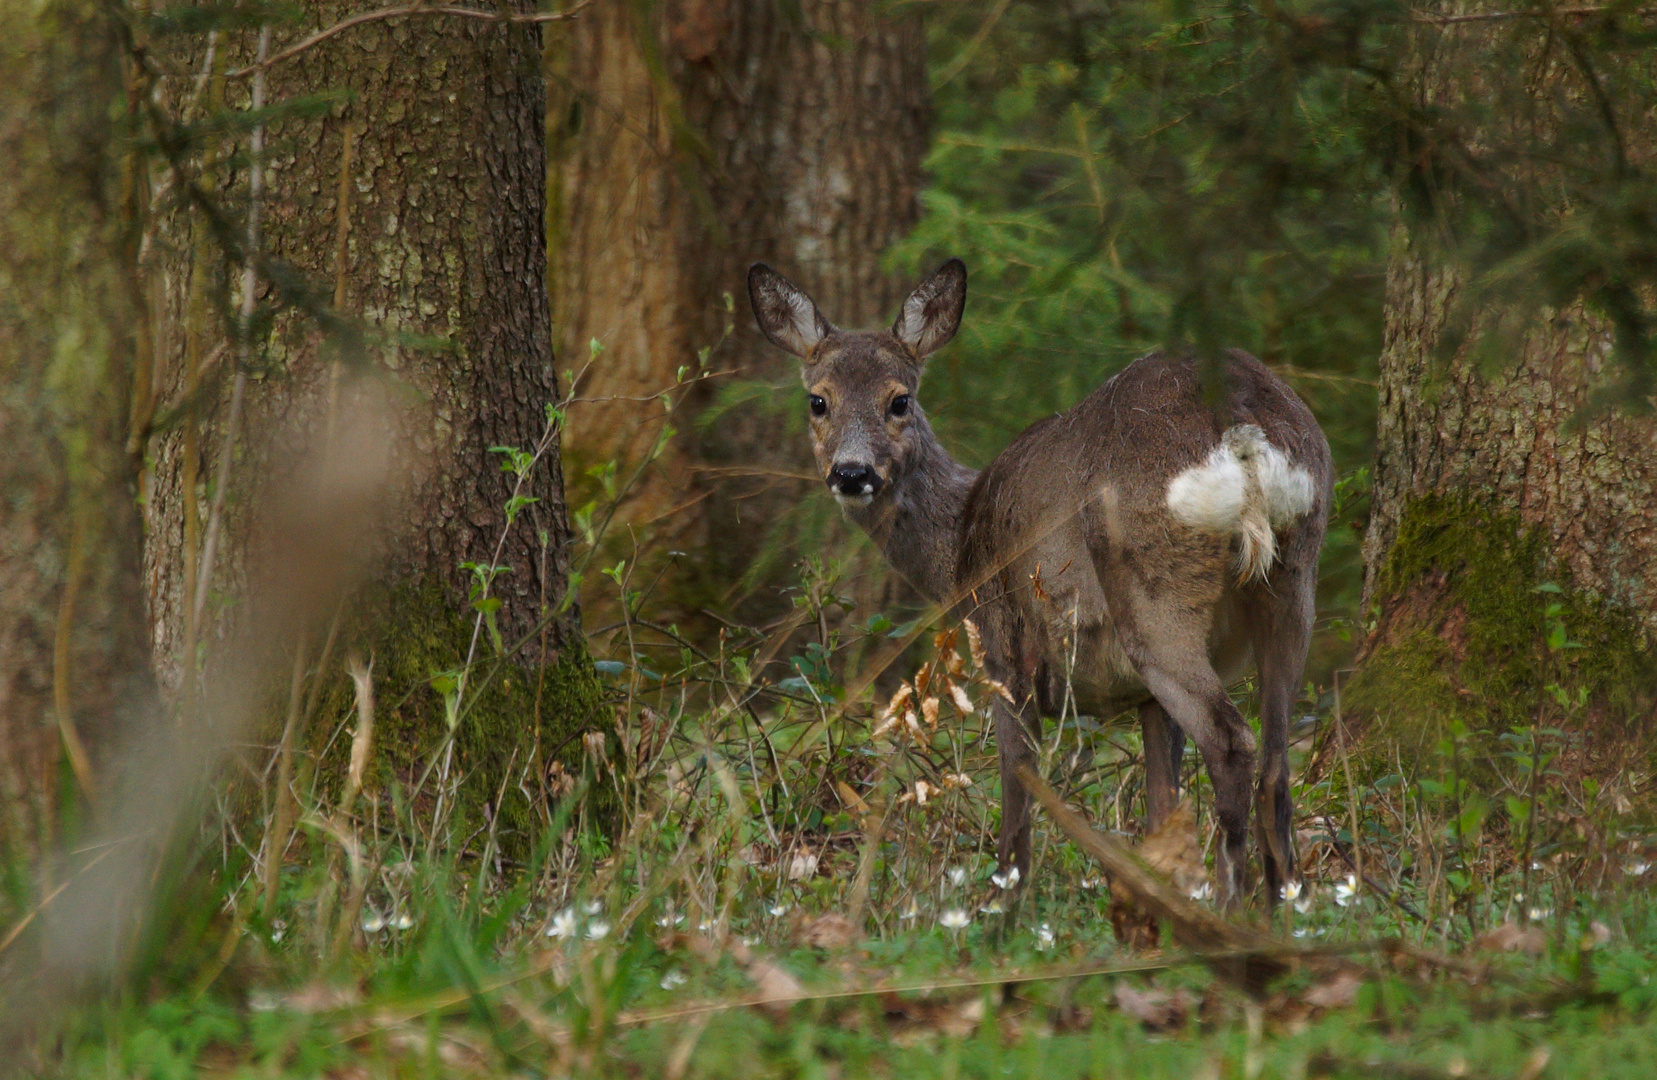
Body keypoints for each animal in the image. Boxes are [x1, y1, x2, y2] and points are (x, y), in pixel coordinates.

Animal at [752, 256, 1332, 907]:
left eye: (900, 400)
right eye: (818, 401)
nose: (852, 473)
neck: (959, 546)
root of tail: (1243, 432)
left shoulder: (1004, 649)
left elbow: (1018, 792)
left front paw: (1005, 907)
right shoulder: (1143, 700)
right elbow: (1162, 806)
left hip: (1153, 590)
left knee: (1233, 744)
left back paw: (1232, 912)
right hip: (1296, 577)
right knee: (1277, 764)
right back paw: (1280, 909)